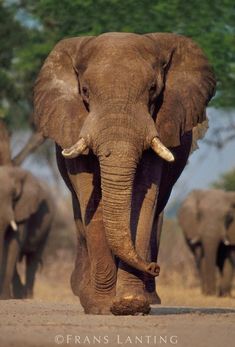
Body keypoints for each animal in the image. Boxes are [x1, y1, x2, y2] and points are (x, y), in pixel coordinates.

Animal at [32, 32, 215, 316]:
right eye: (85, 91)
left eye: (153, 90)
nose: (154, 267)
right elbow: (91, 201)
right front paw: (100, 307)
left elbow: (143, 198)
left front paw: (131, 304)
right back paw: (84, 294)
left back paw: (148, 297)